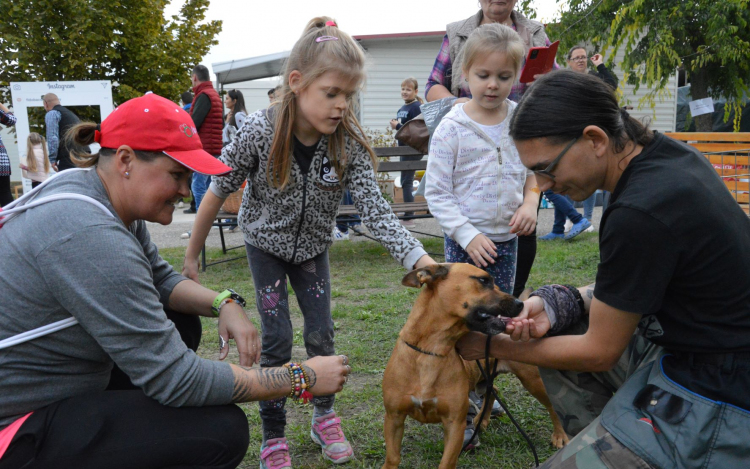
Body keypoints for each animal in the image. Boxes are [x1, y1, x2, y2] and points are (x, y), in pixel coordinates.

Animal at [384, 264, 568, 468]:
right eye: (483, 280)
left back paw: (560, 435)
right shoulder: (394, 417)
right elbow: (392, 457)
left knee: (551, 405)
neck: (430, 351)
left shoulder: (454, 425)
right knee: (492, 391)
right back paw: (481, 419)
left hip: (532, 381)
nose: (520, 304)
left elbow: (446, 463)